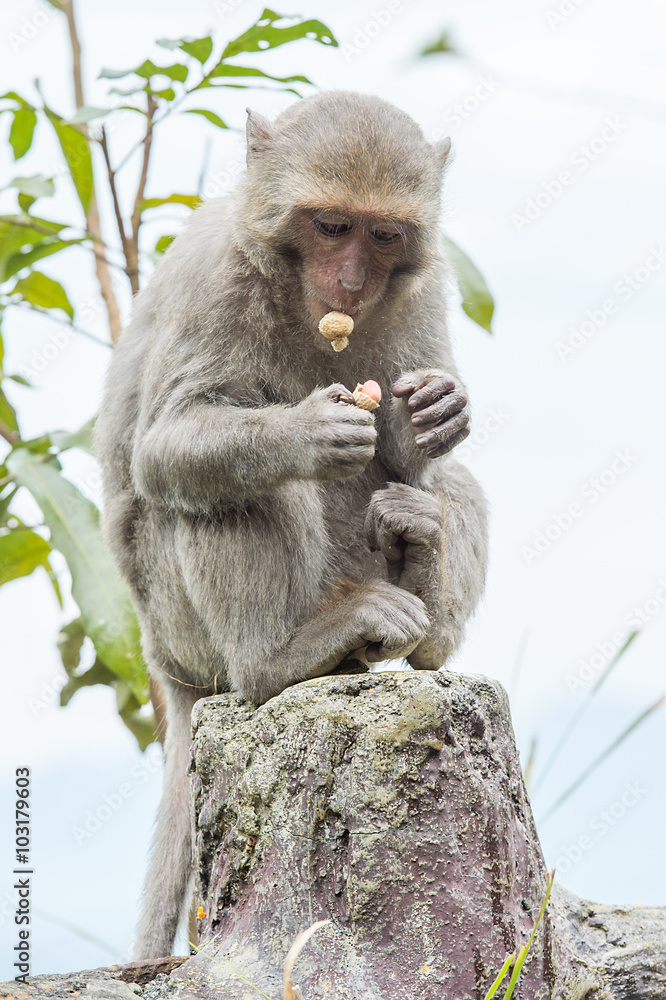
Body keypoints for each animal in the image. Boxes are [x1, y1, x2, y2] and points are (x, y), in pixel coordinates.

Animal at [94, 90, 488, 956]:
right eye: (331, 226)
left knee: (454, 489)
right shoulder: (216, 281)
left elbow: (420, 448)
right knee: (240, 492)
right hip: (182, 623)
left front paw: (439, 412)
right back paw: (280, 659)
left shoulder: (424, 286)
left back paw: (423, 581)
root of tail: (166, 665)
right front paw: (309, 432)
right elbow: (166, 450)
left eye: (383, 235)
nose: (351, 279)